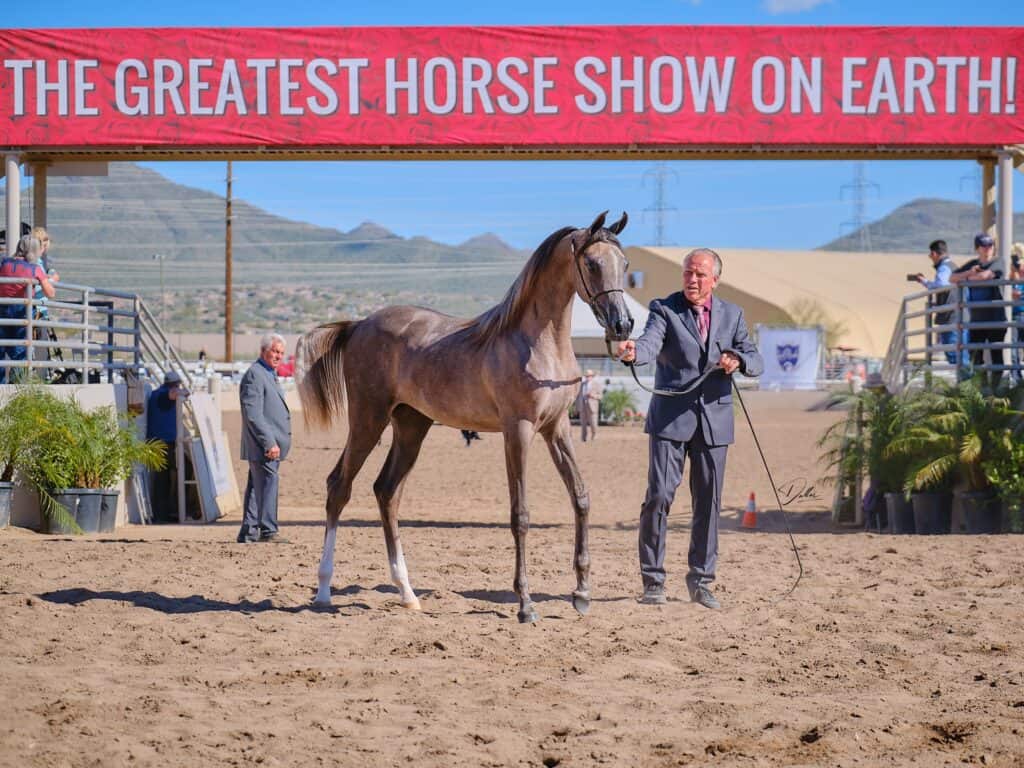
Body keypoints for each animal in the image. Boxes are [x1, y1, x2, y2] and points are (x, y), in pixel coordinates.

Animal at [297, 211, 633, 623]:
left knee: (386, 492)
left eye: (625, 265)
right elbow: (520, 513)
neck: (537, 344)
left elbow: (581, 498)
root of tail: (359, 325)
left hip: (411, 428)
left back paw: (408, 594)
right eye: (591, 263)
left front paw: (582, 592)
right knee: (338, 488)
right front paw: (525, 604)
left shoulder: (557, 430)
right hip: (367, 420)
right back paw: (324, 590)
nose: (623, 326)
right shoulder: (518, 431)